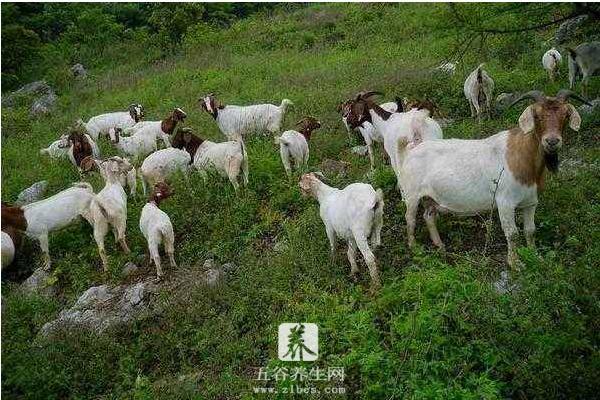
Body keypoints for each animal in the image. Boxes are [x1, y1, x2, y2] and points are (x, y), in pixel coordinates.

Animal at [396, 89, 588, 268]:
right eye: (536, 115)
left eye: (565, 115)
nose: (552, 141)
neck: (522, 156)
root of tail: (410, 151)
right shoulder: (505, 202)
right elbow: (512, 234)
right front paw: (515, 264)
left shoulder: (531, 202)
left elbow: (530, 230)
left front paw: (535, 256)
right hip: (412, 194)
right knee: (410, 218)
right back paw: (414, 247)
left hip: (430, 197)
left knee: (429, 216)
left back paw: (440, 245)